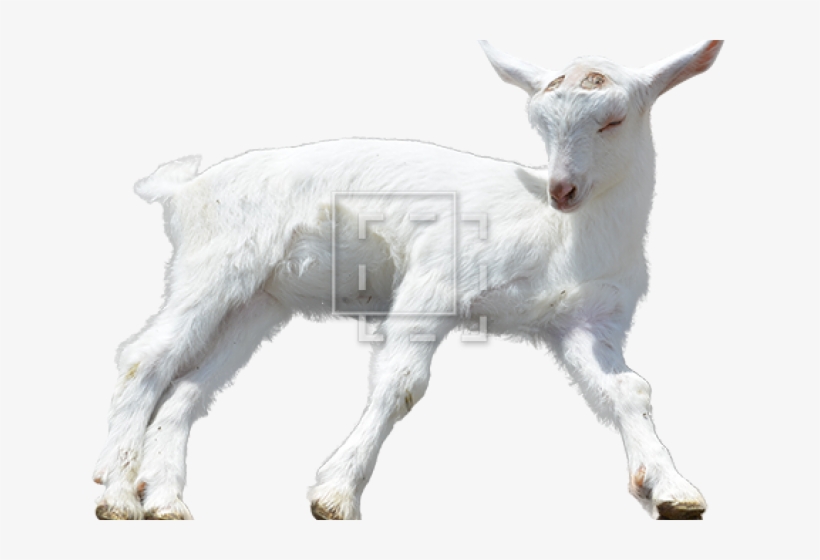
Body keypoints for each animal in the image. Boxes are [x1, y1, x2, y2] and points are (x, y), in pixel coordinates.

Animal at [93, 40, 723, 520]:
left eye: (613, 119)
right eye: (540, 124)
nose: (561, 189)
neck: (562, 235)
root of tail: (183, 189)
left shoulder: (584, 322)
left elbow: (630, 389)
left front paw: (673, 491)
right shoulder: (437, 280)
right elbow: (401, 382)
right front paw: (335, 493)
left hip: (259, 301)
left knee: (188, 387)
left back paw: (165, 501)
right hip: (215, 263)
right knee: (144, 357)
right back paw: (117, 494)